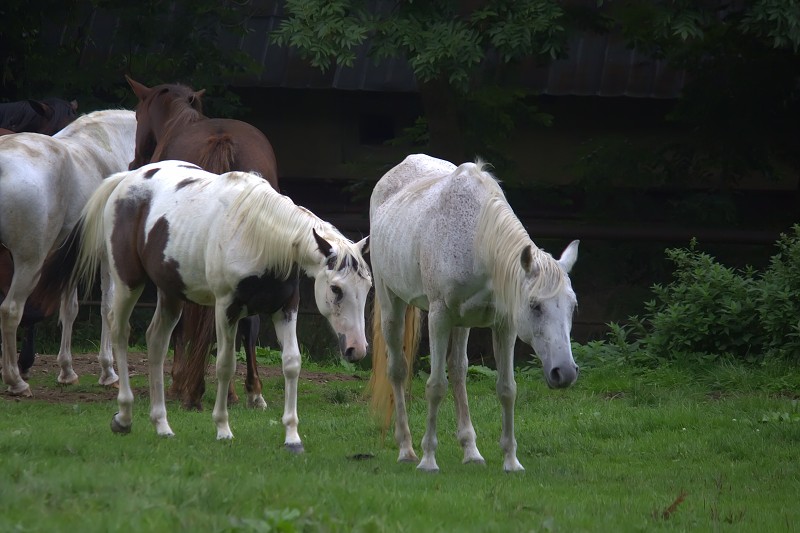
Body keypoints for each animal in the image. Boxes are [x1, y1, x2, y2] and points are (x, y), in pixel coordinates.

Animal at [48, 161, 374, 444]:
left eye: (368, 287)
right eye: (336, 289)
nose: (357, 349)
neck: (259, 235)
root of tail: (125, 180)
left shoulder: (285, 308)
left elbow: (292, 363)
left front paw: (292, 436)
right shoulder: (225, 309)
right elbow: (225, 365)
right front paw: (223, 428)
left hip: (170, 293)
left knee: (156, 342)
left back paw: (162, 425)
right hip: (128, 282)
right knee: (119, 332)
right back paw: (124, 417)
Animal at [122, 76, 278, 408]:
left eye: (138, 116)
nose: (134, 162)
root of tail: (223, 140)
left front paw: (179, 380)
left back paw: (195, 388)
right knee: (246, 321)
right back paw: (248, 390)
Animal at [366, 153, 580, 470]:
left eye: (572, 306)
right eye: (535, 306)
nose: (564, 372)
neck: (477, 242)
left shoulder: (504, 326)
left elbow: (506, 389)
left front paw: (511, 461)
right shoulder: (439, 317)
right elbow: (435, 386)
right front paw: (428, 460)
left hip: (461, 322)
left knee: (458, 370)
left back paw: (471, 451)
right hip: (391, 304)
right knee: (398, 370)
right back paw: (406, 449)